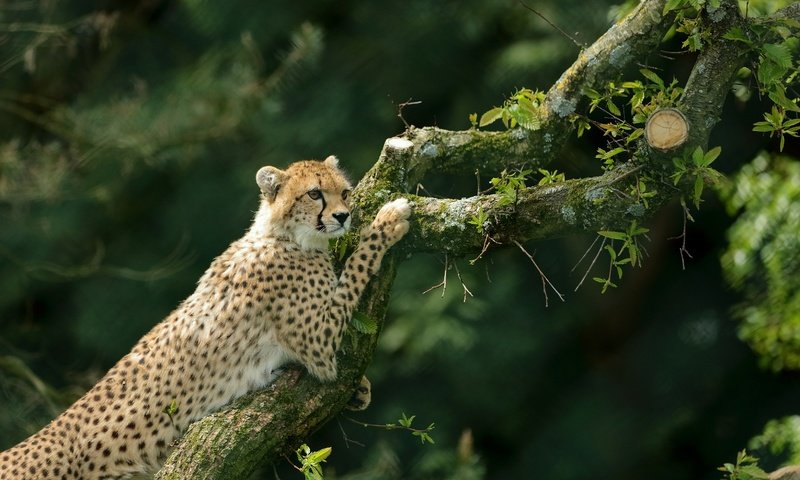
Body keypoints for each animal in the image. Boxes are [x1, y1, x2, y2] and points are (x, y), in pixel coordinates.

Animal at [0, 156, 412, 478]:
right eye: (314, 194)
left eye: (345, 192)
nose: (343, 216)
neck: (283, 236)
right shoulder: (319, 344)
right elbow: (356, 269)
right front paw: (388, 221)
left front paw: (361, 389)